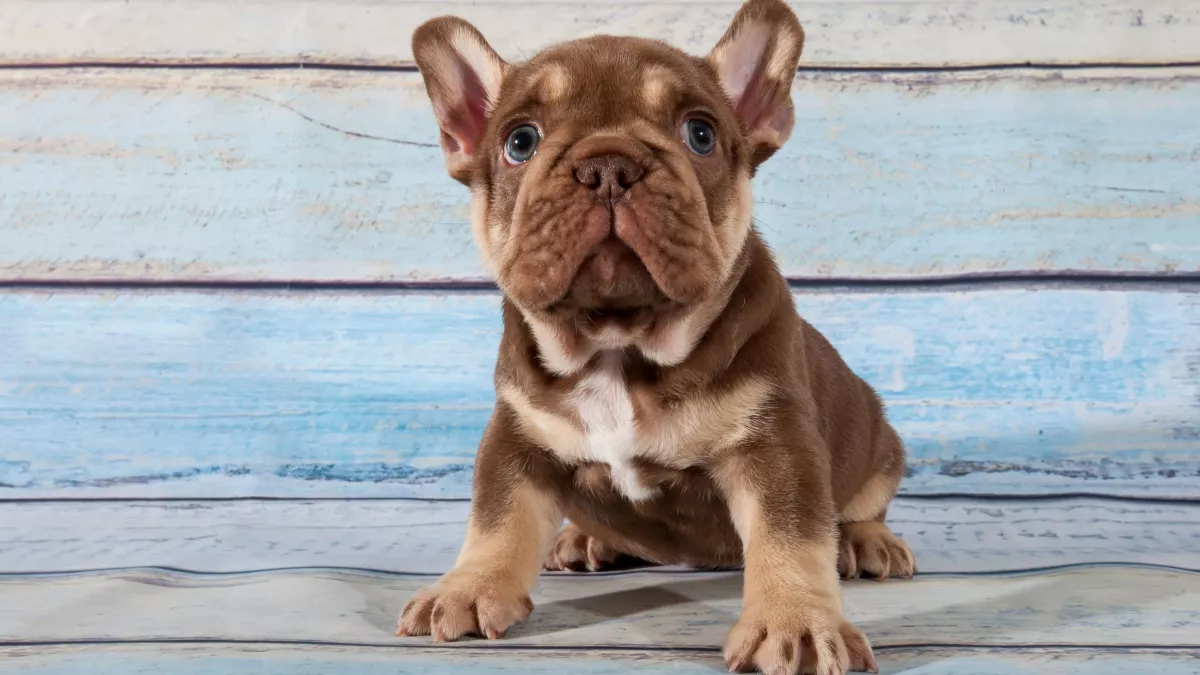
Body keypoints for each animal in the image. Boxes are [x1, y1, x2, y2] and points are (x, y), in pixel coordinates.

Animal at [398, 2, 912, 667]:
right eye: (520, 142)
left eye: (701, 135)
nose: (608, 165)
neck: (618, 344)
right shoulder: (518, 438)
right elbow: (497, 518)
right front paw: (467, 587)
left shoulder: (773, 443)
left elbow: (792, 536)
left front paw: (794, 624)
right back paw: (584, 538)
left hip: (880, 442)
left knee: (863, 503)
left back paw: (867, 540)